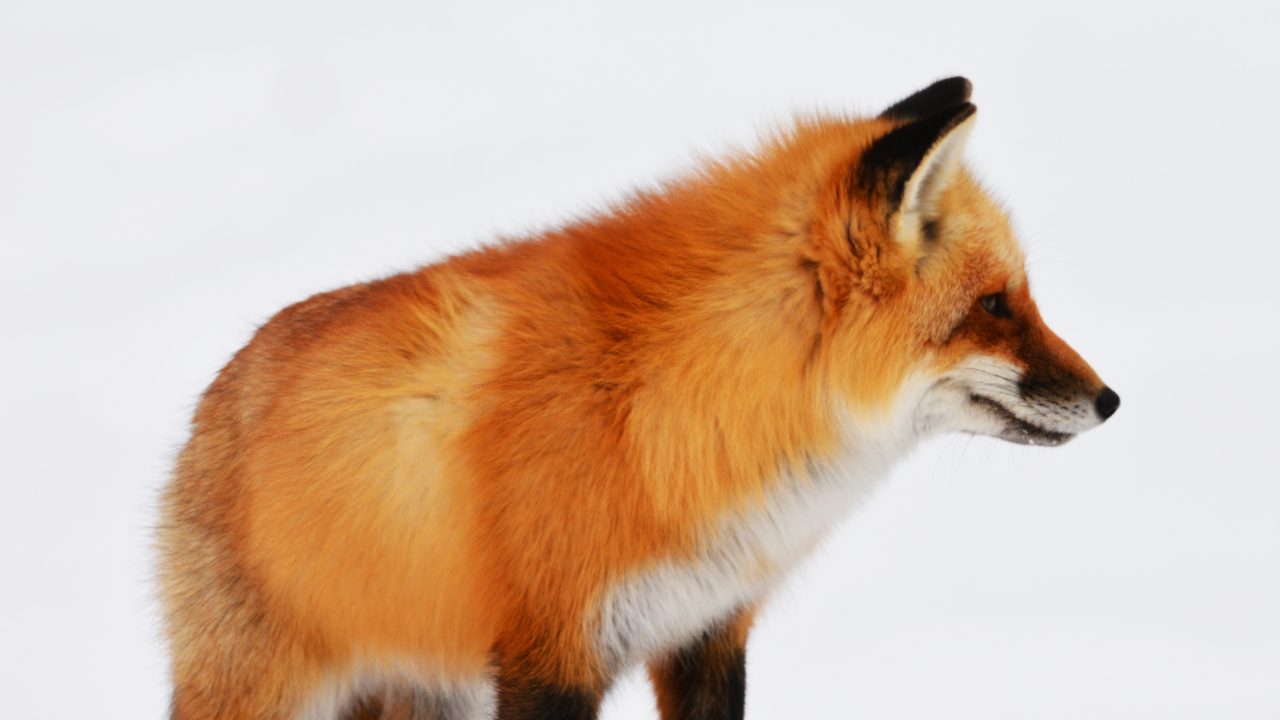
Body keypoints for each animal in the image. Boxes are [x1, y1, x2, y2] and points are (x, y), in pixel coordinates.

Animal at [158, 77, 1119, 720]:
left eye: (1019, 297)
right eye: (994, 307)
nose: (1111, 400)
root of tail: (212, 399)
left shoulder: (705, 632)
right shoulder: (551, 656)